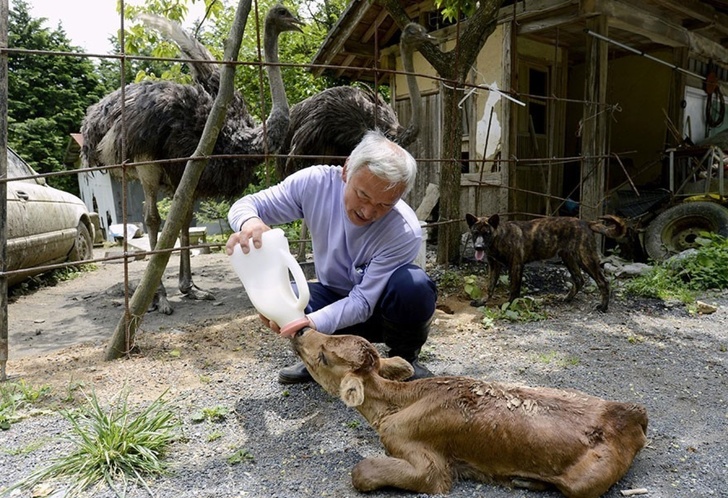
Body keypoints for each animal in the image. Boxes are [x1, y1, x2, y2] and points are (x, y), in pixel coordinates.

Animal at [290, 328, 648, 496]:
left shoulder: (430, 466)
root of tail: (633, 414)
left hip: (587, 482)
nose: (300, 331)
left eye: (324, 357)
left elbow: (362, 471)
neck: (395, 406)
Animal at [466, 213, 624, 312]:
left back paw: (603, 307)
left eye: (486, 233)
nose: (478, 247)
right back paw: (567, 298)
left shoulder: (516, 266)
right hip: (569, 258)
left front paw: (509, 305)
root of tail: (586, 222)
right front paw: (482, 301)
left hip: (585, 258)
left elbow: (514, 289)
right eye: (475, 233)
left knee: (603, 282)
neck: (499, 238)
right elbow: (490, 286)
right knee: (579, 280)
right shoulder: (494, 266)